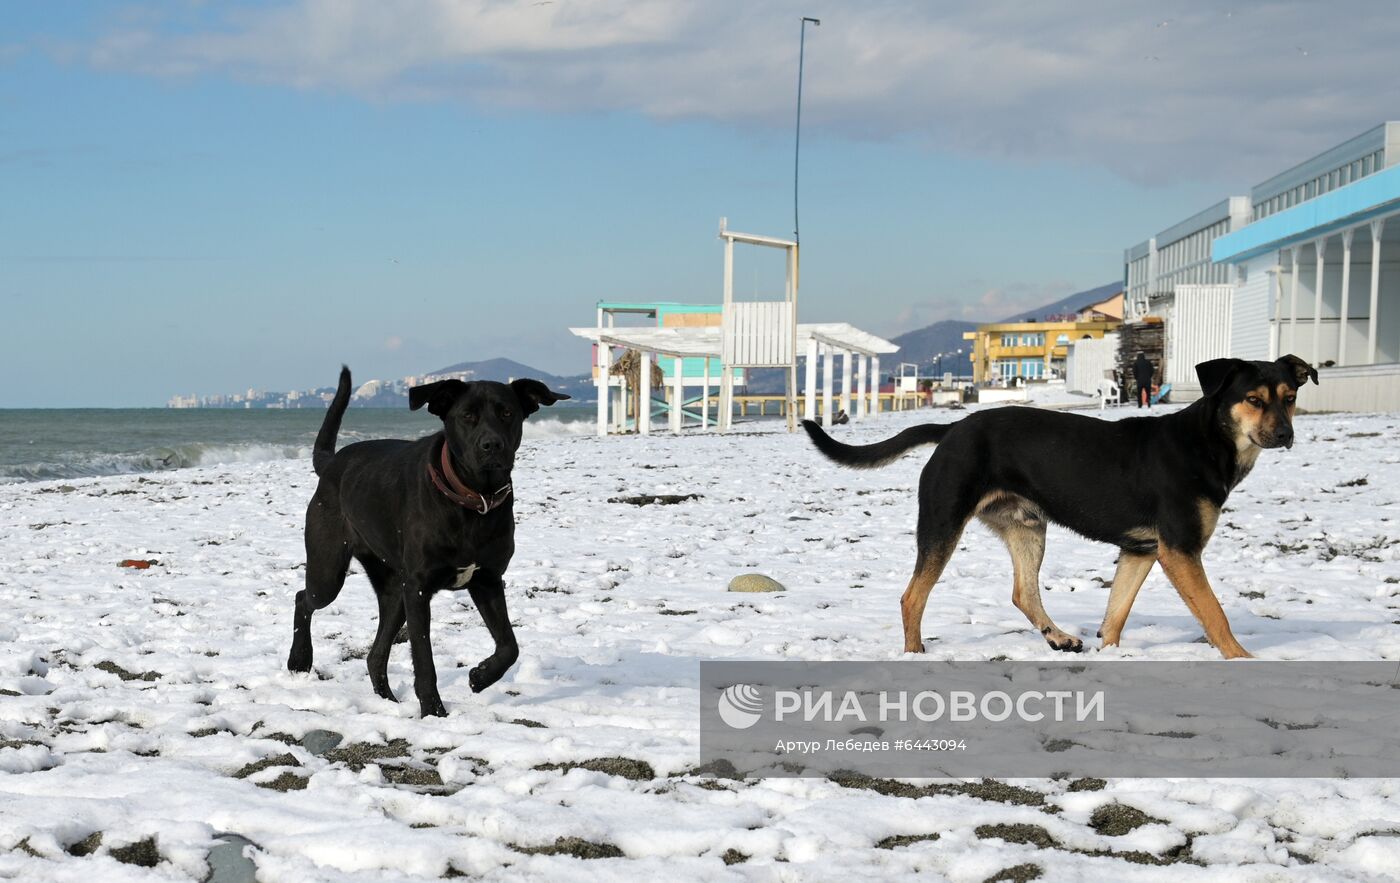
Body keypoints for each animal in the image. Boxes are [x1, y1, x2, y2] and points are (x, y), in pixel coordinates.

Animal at [287, 366, 571, 716]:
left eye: (507, 413)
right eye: (467, 416)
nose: (492, 445)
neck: (474, 499)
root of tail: (331, 464)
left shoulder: (488, 580)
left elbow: (509, 645)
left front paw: (480, 676)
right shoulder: (419, 589)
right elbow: (424, 660)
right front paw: (434, 712)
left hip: (394, 590)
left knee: (375, 654)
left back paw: (388, 701)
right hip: (329, 571)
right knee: (303, 598)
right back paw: (299, 660)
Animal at [806, 355, 1316, 660]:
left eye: (1291, 398)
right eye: (1253, 400)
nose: (1286, 435)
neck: (1208, 443)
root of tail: (950, 429)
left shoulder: (1142, 551)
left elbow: (1116, 613)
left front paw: (1109, 652)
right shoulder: (1180, 551)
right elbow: (1214, 613)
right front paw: (1241, 659)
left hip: (1027, 528)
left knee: (1023, 592)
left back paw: (1058, 636)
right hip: (943, 522)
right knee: (913, 595)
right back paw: (915, 652)